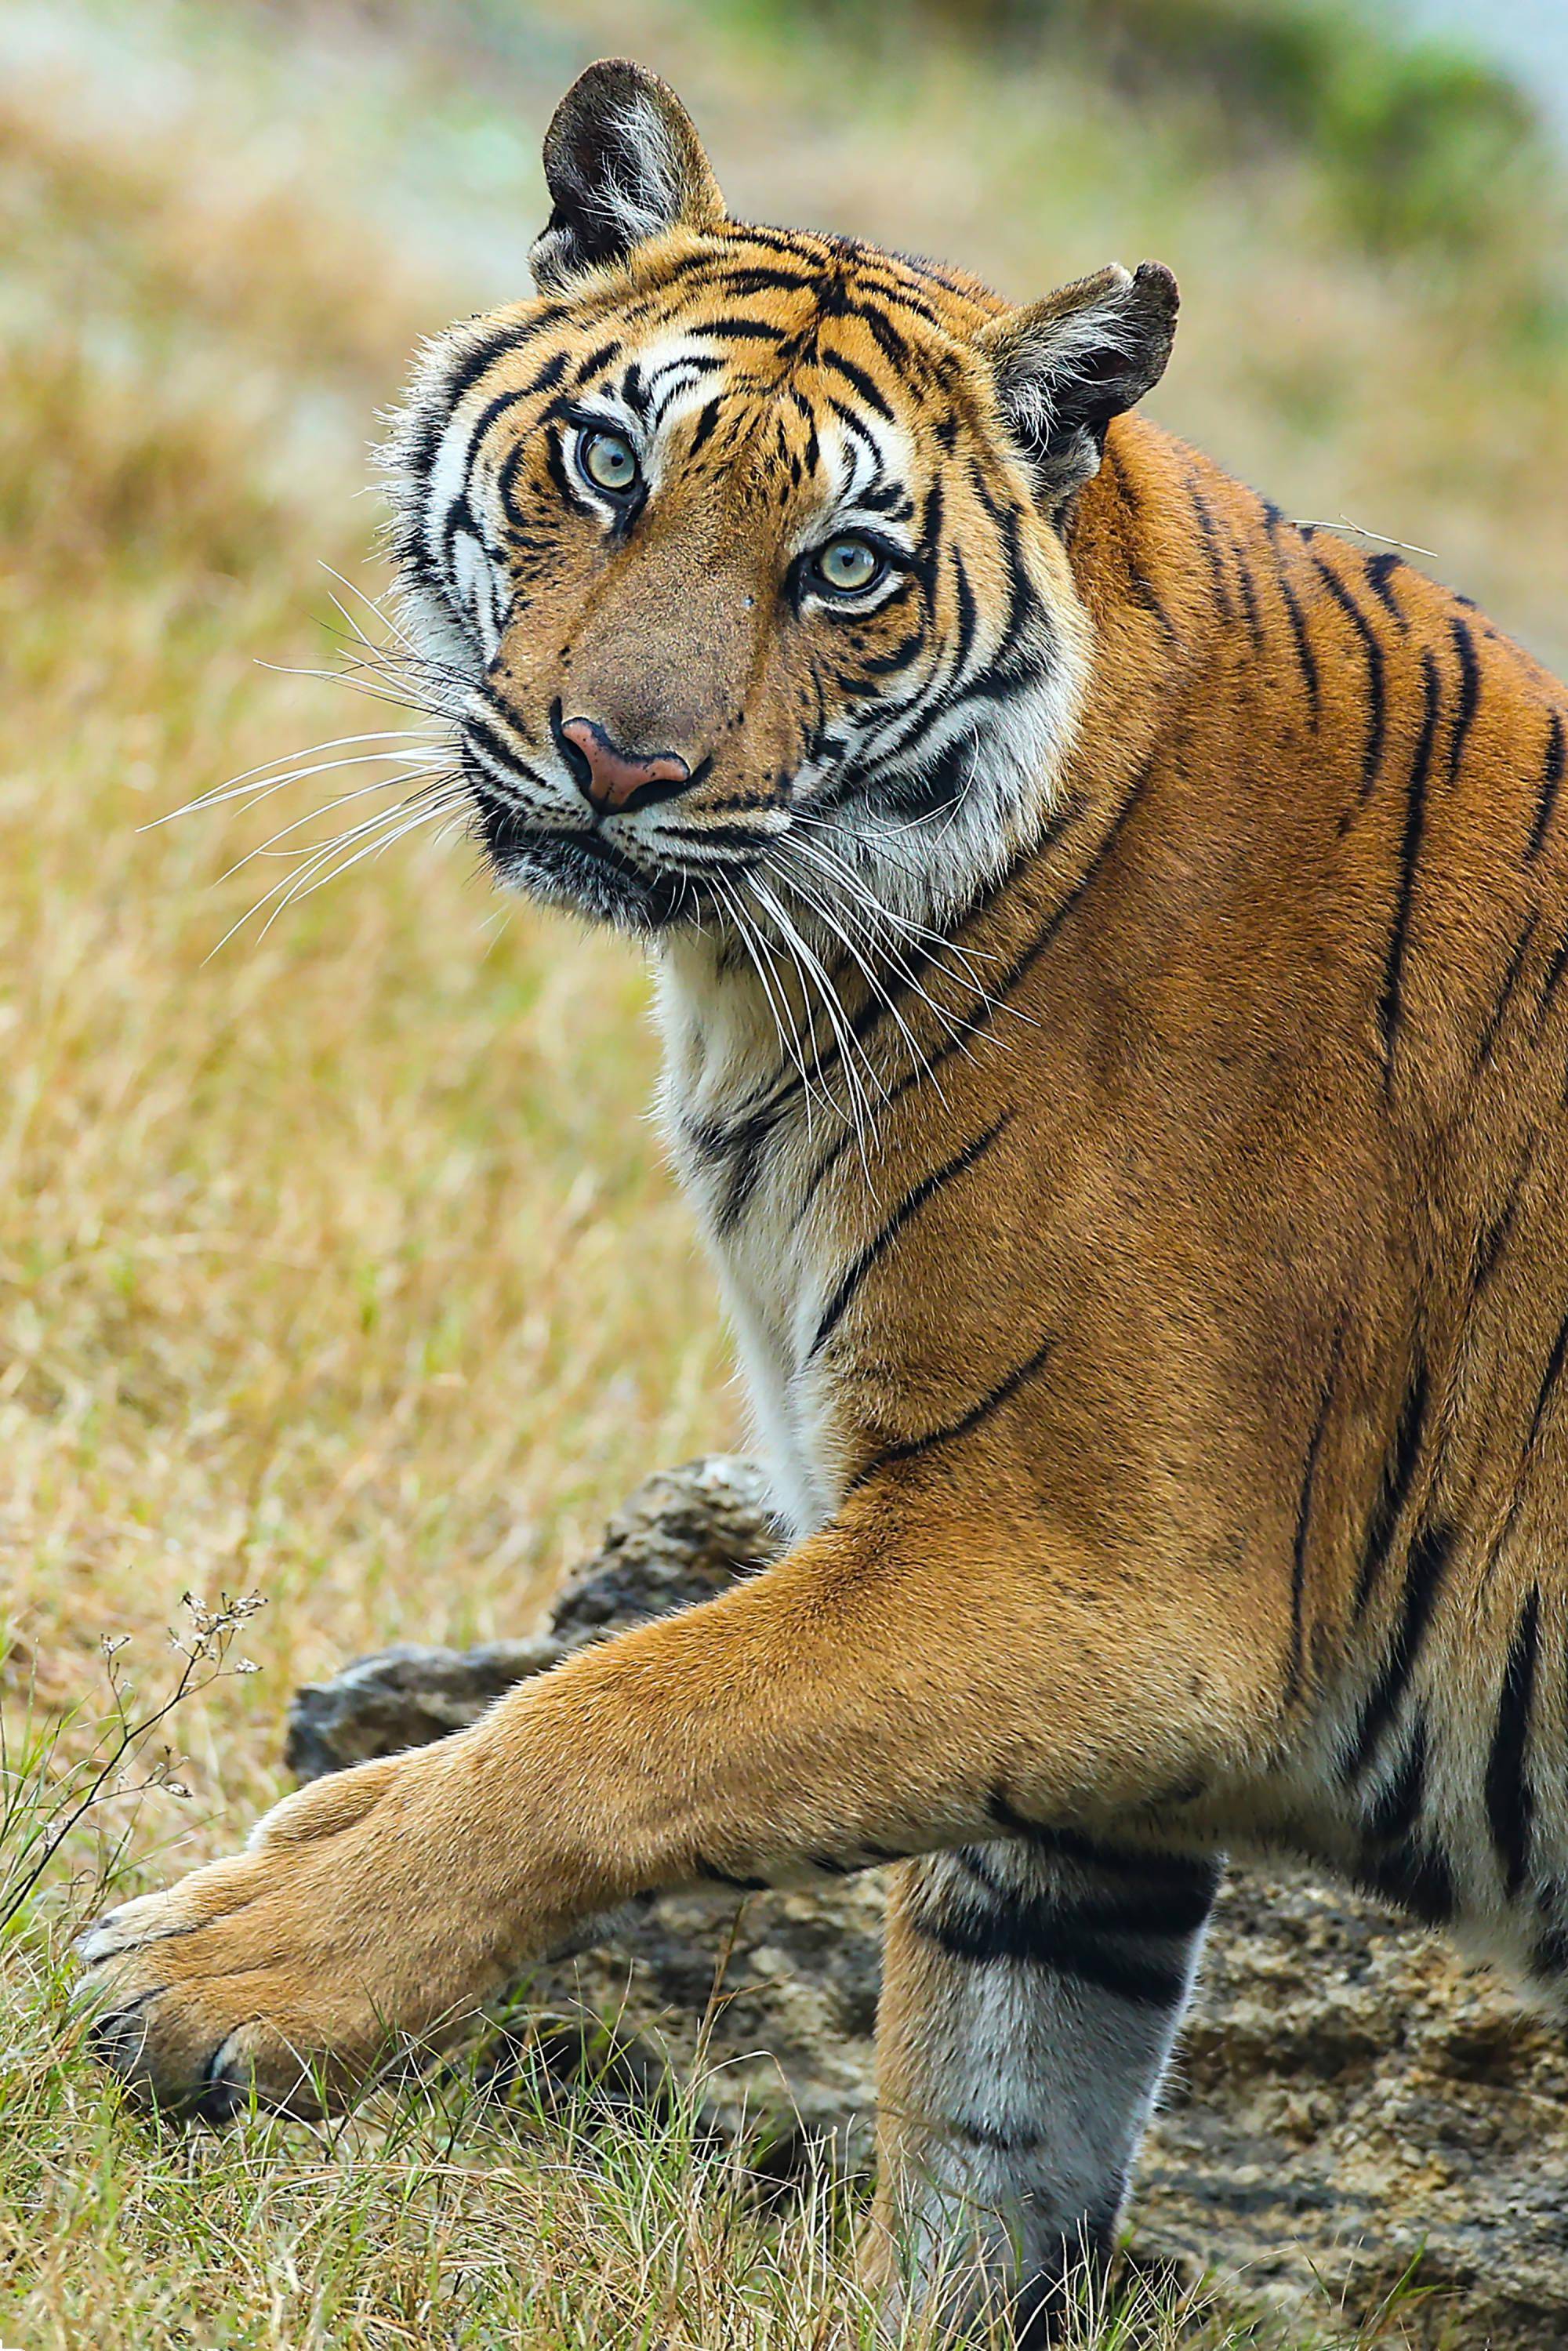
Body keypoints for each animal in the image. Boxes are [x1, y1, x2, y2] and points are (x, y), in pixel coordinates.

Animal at [82, 55, 1568, 2351]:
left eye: (846, 565)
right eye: (609, 461)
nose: (617, 758)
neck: (778, 977)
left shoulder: (1082, 1569)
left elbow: (616, 1711)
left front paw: (224, 1960)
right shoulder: (1086, 1755)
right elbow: (990, 2108)